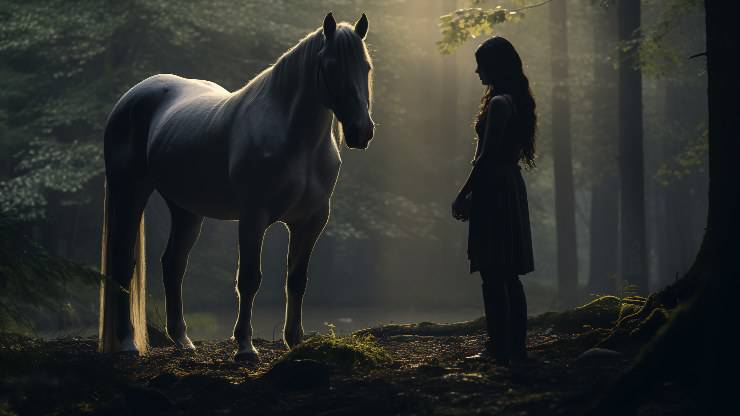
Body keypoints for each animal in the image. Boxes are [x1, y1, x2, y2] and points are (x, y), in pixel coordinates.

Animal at [99, 12, 374, 361]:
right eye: (332, 64)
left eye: (366, 67)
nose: (361, 131)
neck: (297, 141)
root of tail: (132, 96)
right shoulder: (253, 217)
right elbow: (249, 279)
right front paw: (245, 346)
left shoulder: (311, 220)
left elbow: (297, 280)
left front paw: (295, 340)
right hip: (130, 192)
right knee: (123, 264)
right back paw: (127, 343)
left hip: (186, 209)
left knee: (173, 264)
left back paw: (182, 340)